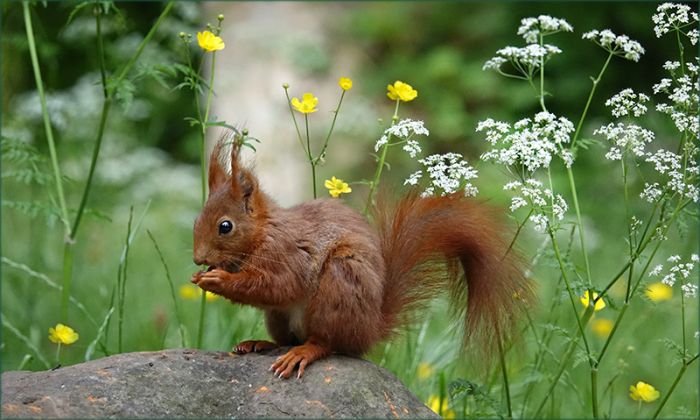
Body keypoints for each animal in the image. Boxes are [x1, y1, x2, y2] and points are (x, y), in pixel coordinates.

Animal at [191, 138, 533, 379]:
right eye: (197, 219)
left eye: (225, 226)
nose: (197, 259)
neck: (264, 232)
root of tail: (370, 329)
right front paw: (203, 277)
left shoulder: (288, 254)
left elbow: (276, 286)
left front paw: (217, 279)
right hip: (279, 317)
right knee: (288, 338)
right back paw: (261, 344)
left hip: (338, 286)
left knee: (327, 343)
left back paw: (303, 352)